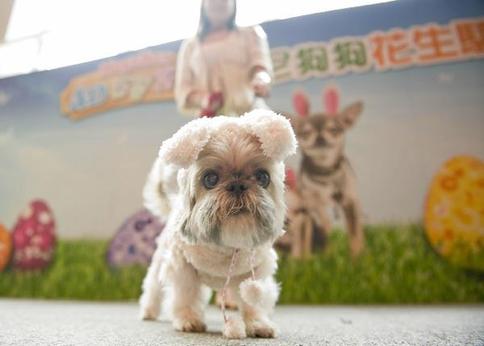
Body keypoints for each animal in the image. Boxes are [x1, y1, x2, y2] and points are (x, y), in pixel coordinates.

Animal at [140, 109, 296, 340]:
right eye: (210, 179)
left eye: (262, 177)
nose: (238, 185)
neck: (226, 248)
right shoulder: (182, 267)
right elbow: (186, 294)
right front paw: (188, 320)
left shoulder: (255, 272)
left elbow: (253, 301)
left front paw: (258, 324)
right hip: (160, 261)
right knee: (153, 289)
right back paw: (148, 311)